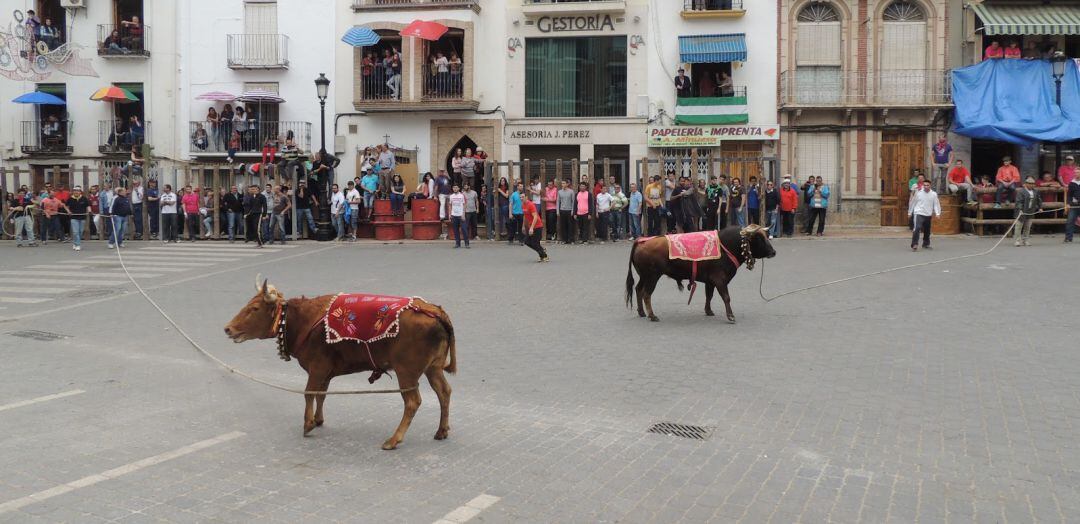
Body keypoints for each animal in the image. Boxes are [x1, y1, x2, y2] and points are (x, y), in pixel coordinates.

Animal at [223, 278, 455, 449]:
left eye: (254, 308)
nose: (228, 328)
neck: (302, 320)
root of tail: (435, 311)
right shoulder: (325, 372)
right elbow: (321, 395)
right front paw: (318, 420)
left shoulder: (317, 368)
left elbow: (309, 393)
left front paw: (308, 424)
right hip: (433, 368)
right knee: (444, 392)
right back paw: (441, 431)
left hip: (406, 372)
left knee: (413, 402)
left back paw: (394, 439)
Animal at [626, 225, 777, 321]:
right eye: (758, 238)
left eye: (766, 236)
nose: (773, 252)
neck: (725, 246)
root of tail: (641, 241)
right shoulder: (720, 280)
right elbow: (726, 297)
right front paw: (730, 316)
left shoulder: (710, 281)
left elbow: (709, 296)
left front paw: (708, 311)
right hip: (652, 277)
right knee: (646, 294)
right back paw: (652, 315)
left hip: (644, 276)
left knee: (638, 290)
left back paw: (641, 312)